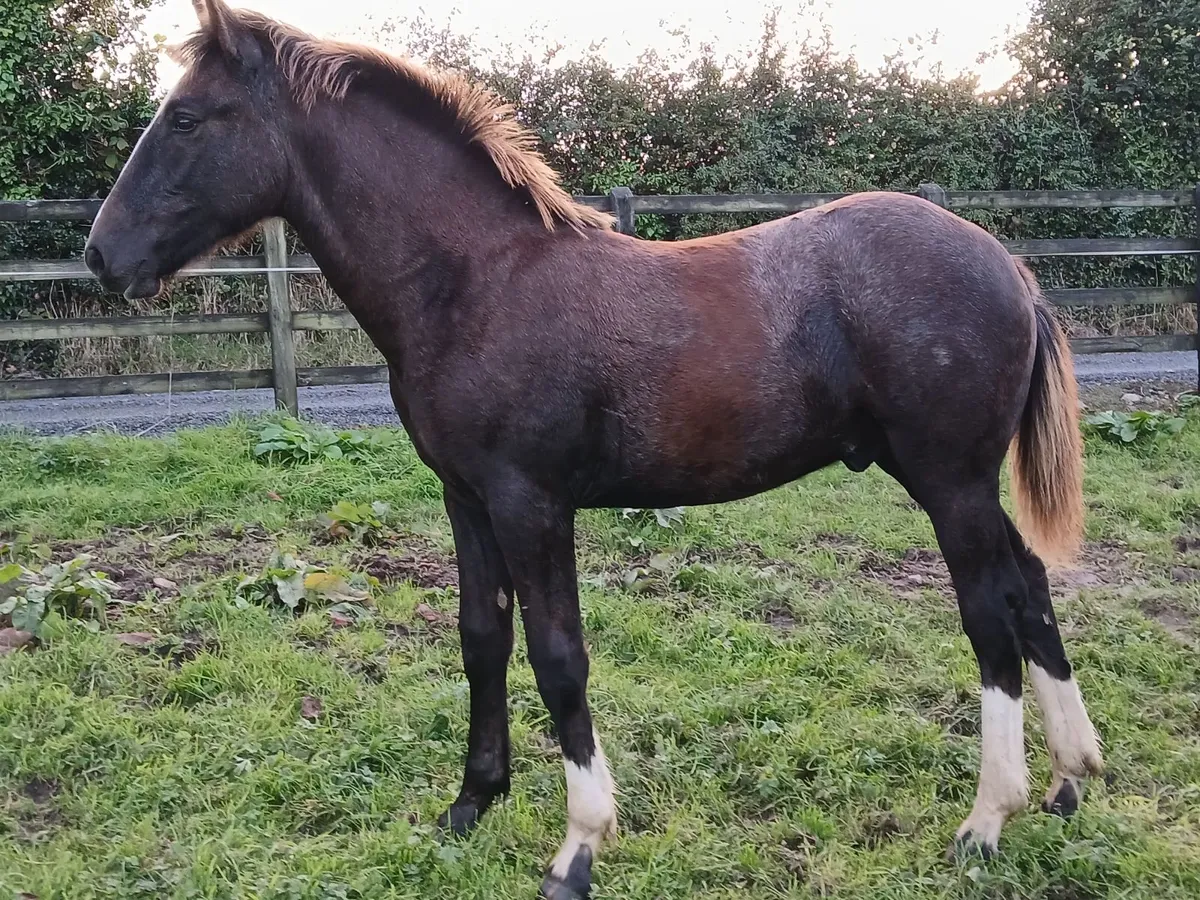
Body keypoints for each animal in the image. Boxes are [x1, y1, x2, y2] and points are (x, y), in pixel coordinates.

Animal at [83, 2, 1103, 897]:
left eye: (185, 116)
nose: (101, 255)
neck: (475, 281)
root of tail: (1008, 266)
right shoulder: (465, 497)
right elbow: (482, 638)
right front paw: (470, 806)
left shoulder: (531, 501)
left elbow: (557, 654)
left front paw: (578, 847)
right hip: (955, 481)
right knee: (1029, 586)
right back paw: (1069, 779)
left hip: (948, 480)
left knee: (989, 616)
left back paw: (988, 819)